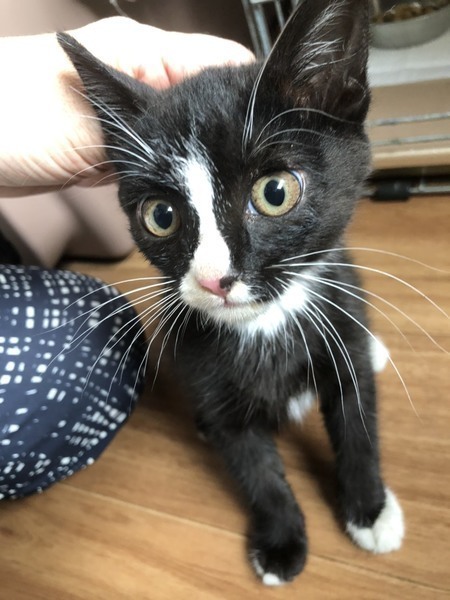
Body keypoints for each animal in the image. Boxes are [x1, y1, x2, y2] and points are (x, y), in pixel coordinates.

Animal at [58, 0, 404, 585]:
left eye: (275, 192)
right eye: (161, 216)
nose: (214, 279)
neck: (264, 324)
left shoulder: (338, 319)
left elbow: (358, 422)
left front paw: (370, 511)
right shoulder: (209, 378)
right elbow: (255, 470)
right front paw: (282, 540)